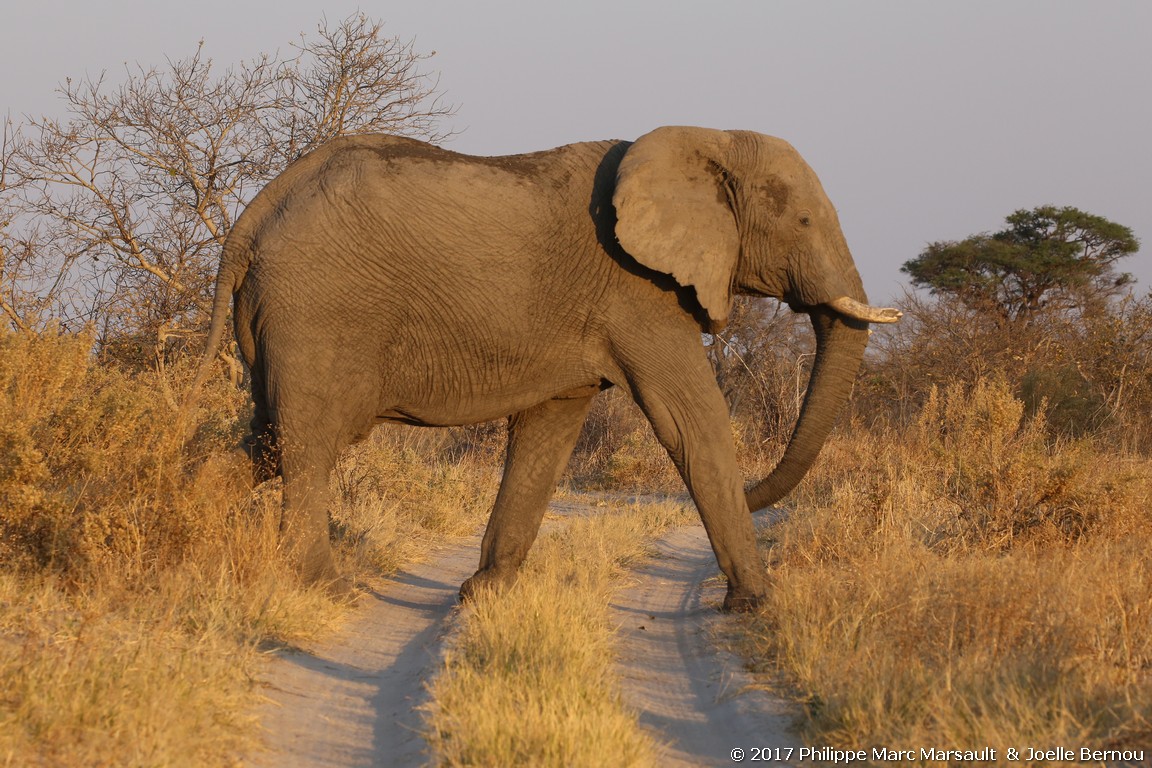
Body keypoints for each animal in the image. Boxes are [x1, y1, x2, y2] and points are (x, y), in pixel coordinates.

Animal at [191, 126, 898, 612]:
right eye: (802, 220)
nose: (758, 497)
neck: (704, 138)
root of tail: (259, 210)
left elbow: (548, 434)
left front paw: (484, 594)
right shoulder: (638, 294)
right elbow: (692, 423)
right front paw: (756, 605)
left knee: (269, 440)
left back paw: (194, 531)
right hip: (320, 311)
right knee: (310, 441)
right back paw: (328, 589)